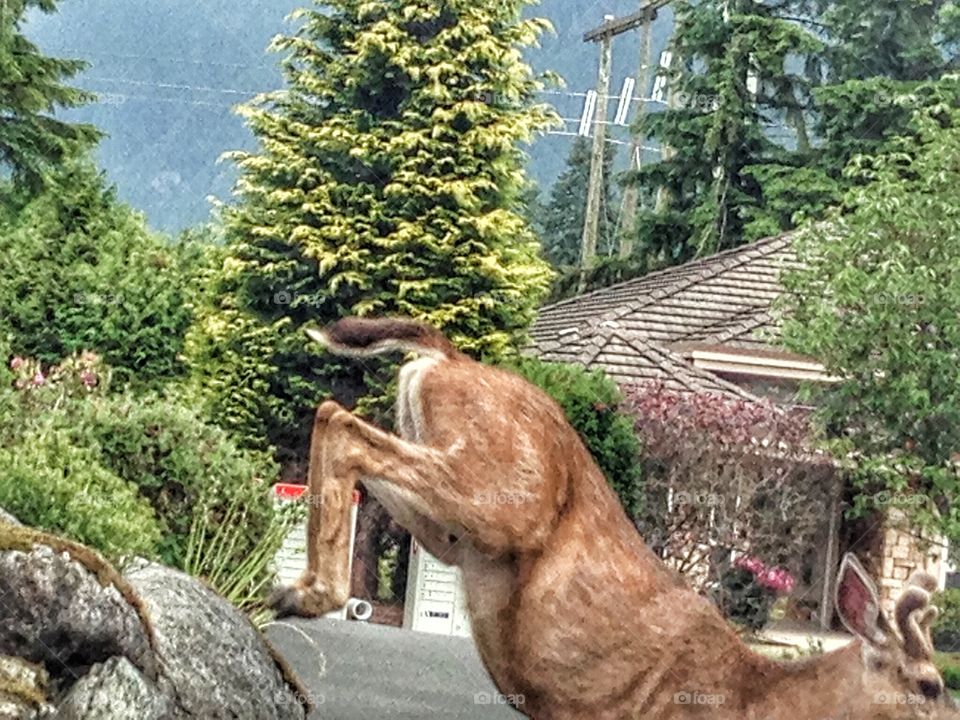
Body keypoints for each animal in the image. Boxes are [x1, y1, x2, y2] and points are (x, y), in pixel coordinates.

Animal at [266, 318, 956, 716]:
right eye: (930, 685)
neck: (754, 701)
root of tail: (453, 359)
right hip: (500, 496)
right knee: (342, 422)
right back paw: (306, 594)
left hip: (458, 527)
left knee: (336, 420)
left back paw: (292, 591)